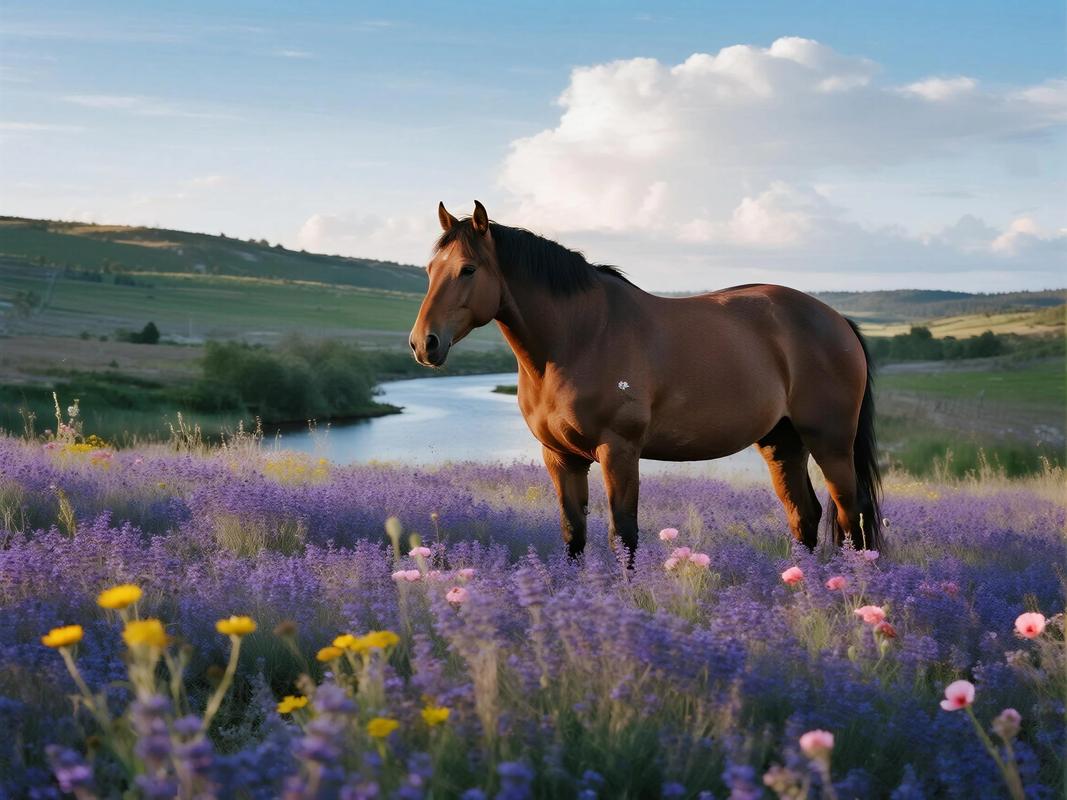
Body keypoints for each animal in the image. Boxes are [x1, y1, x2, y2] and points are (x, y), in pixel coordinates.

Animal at [409, 201, 882, 559]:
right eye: (430, 268)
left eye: (468, 269)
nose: (423, 343)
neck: (581, 336)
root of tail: (836, 320)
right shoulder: (560, 457)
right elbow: (573, 536)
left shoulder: (618, 451)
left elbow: (624, 535)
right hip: (782, 443)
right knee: (805, 516)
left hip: (830, 442)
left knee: (851, 516)